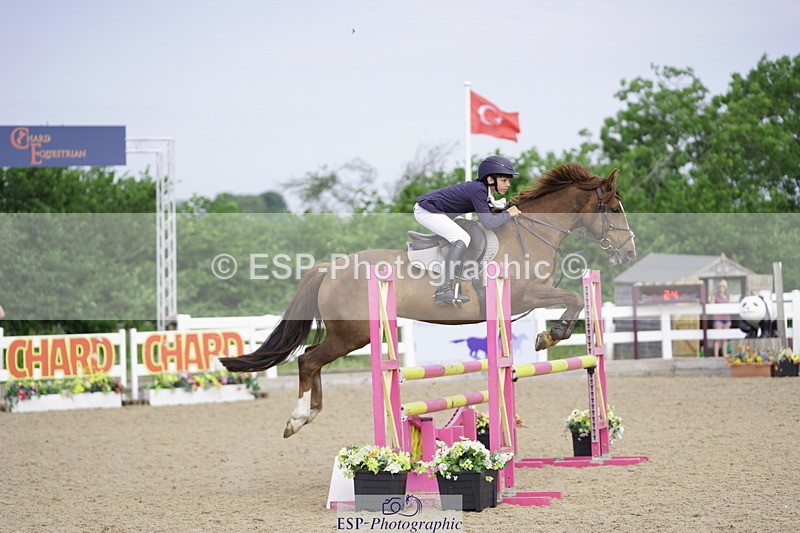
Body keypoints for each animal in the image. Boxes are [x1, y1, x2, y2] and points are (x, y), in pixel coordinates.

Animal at [219, 162, 636, 438]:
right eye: (615, 208)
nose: (629, 252)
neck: (531, 235)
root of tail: (328, 267)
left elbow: (573, 299)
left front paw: (551, 334)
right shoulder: (523, 294)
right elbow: (573, 298)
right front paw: (551, 335)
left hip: (349, 334)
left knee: (311, 359)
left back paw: (310, 414)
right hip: (354, 334)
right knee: (308, 360)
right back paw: (297, 418)